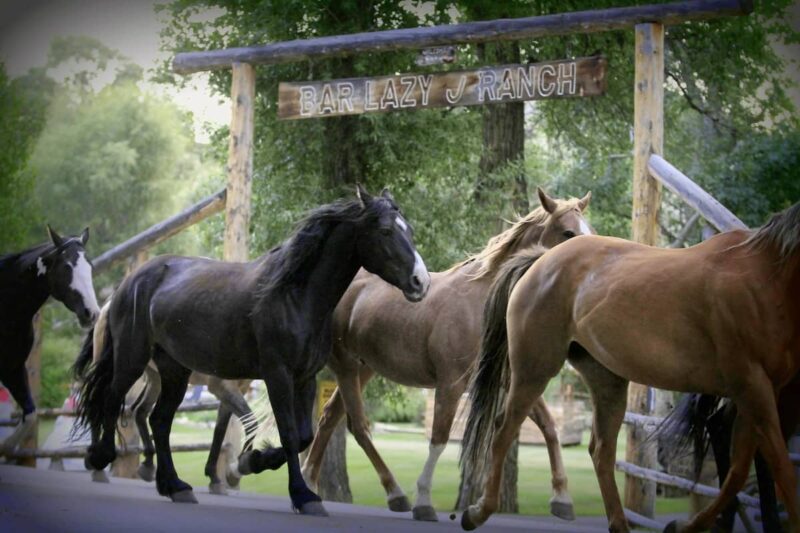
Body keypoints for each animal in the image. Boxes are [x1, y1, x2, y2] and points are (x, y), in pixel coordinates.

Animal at [0, 227, 100, 456]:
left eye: (89, 267)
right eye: (66, 266)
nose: (92, 313)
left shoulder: (13, 369)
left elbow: (30, 415)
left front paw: (6, 446)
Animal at [73, 187, 432, 516]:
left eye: (410, 230)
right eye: (385, 231)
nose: (421, 282)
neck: (294, 295)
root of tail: (128, 284)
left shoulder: (305, 377)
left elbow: (303, 435)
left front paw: (250, 462)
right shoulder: (277, 375)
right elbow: (288, 433)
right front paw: (301, 494)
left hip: (174, 369)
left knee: (159, 420)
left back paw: (174, 485)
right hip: (132, 358)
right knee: (112, 400)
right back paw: (100, 457)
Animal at [304, 187, 592, 520]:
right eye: (568, 232)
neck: (480, 303)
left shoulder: (512, 382)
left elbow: (549, 428)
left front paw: (562, 498)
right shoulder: (451, 385)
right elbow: (439, 439)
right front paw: (424, 500)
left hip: (364, 369)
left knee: (329, 419)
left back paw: (311, 485)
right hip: (346, 367)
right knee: (358, 427)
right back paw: (395, 493)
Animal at [460, 201, 800, 532]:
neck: (763, 275)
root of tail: (541, 261)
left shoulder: (764, 393)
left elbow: (743, 470)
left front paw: (687, 526)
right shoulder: (752, 387)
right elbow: (780, 470)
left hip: (607, 382)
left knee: (601, 451)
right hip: (534, 370)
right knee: (504, 429)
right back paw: (478, 511)